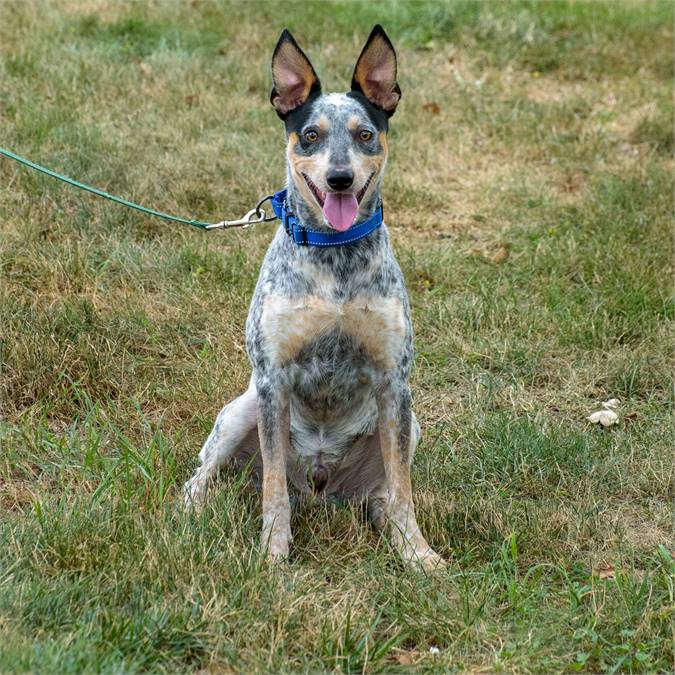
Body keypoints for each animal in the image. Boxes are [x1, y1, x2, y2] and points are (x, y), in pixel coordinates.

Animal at [185, 25, 446, 572]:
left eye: (365, 134)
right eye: (310, 135)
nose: (340, 178)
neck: (334, 255)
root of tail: (320, 483)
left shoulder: (395, 383)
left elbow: (403, 489)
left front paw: (418, 552)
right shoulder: (271, 379)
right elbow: (272, 489)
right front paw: (273, 553)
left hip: (409, 427)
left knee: (383, 494)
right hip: (241, 411)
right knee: (207, 476)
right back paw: (189, 511)